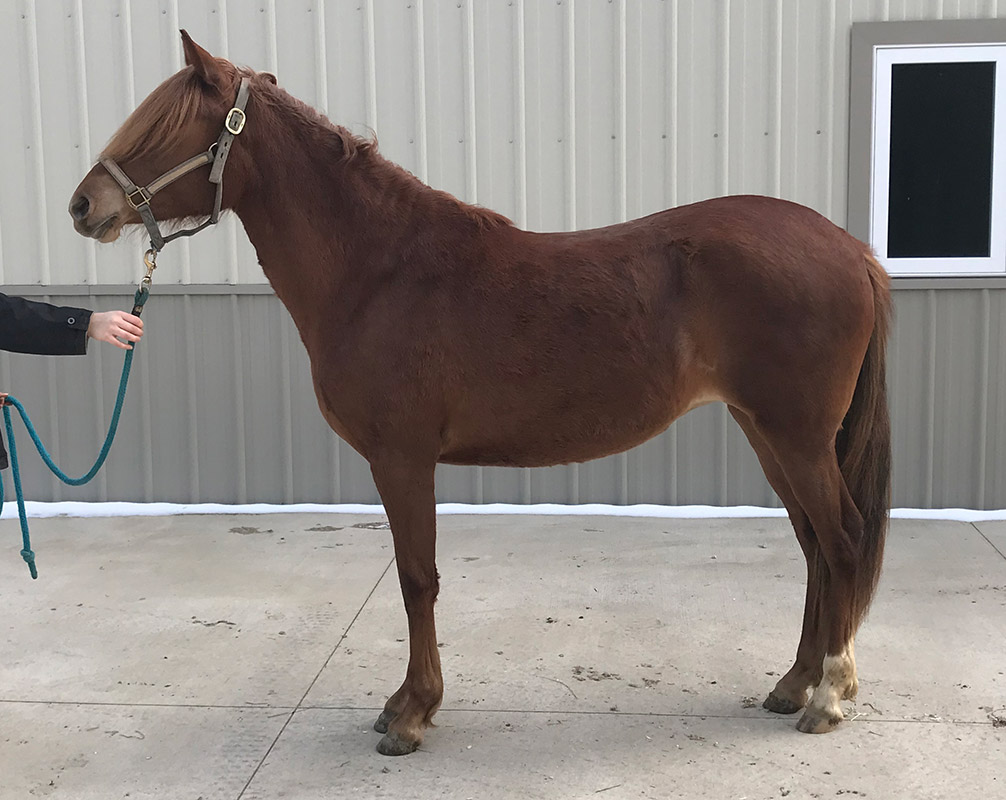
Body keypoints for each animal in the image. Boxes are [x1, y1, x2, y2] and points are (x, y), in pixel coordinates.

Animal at [69, 31, 891, 757]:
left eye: (164, 127)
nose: (81, 206)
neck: (380, 272)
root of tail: (850, 249)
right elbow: (418, 579)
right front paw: (406, 703)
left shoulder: (402, 459)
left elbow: (416, 579)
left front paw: (412, 714)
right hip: (767, 431)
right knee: (814, 546)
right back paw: (793, 683)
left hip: (795, 435)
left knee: (842, 539)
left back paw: (829, 697)